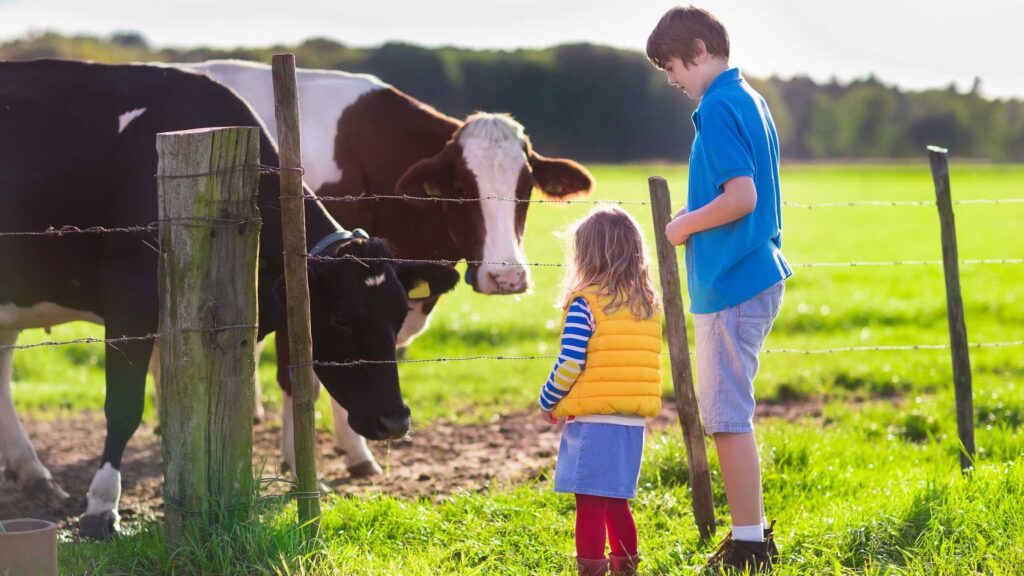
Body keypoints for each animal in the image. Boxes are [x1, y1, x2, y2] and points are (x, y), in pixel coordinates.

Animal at [0, 60, 456, 537]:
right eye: (341, 320)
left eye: (399, 314)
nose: (394, 420)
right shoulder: (130, 298)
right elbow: (124, 407)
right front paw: (102, 507)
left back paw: (32, 472)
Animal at [173, 60, 598, 475]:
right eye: (461, 190)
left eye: (525, 189)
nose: (506, 276)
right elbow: (303, 378)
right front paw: (299, 465)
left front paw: (356, 452)